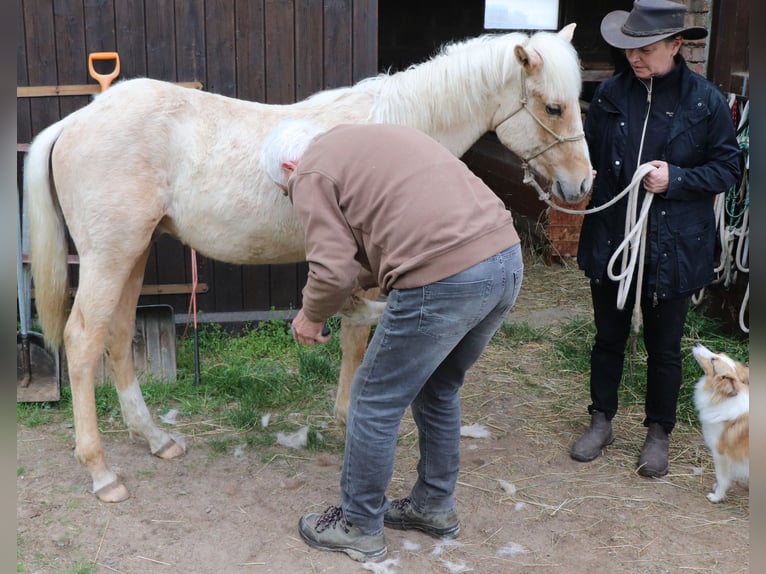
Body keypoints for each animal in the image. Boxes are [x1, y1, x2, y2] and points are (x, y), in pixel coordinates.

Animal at [24, 24, 592, 502]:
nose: (582, 185)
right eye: (554, 107)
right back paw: (101, 472)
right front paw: (347, 419)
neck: (398, 126)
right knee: (83, 340)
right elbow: (358, 340)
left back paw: (154, 438)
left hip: (133, 253)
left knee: (118, 336)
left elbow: (352, 338)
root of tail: (75, 120)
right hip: (110, 257)